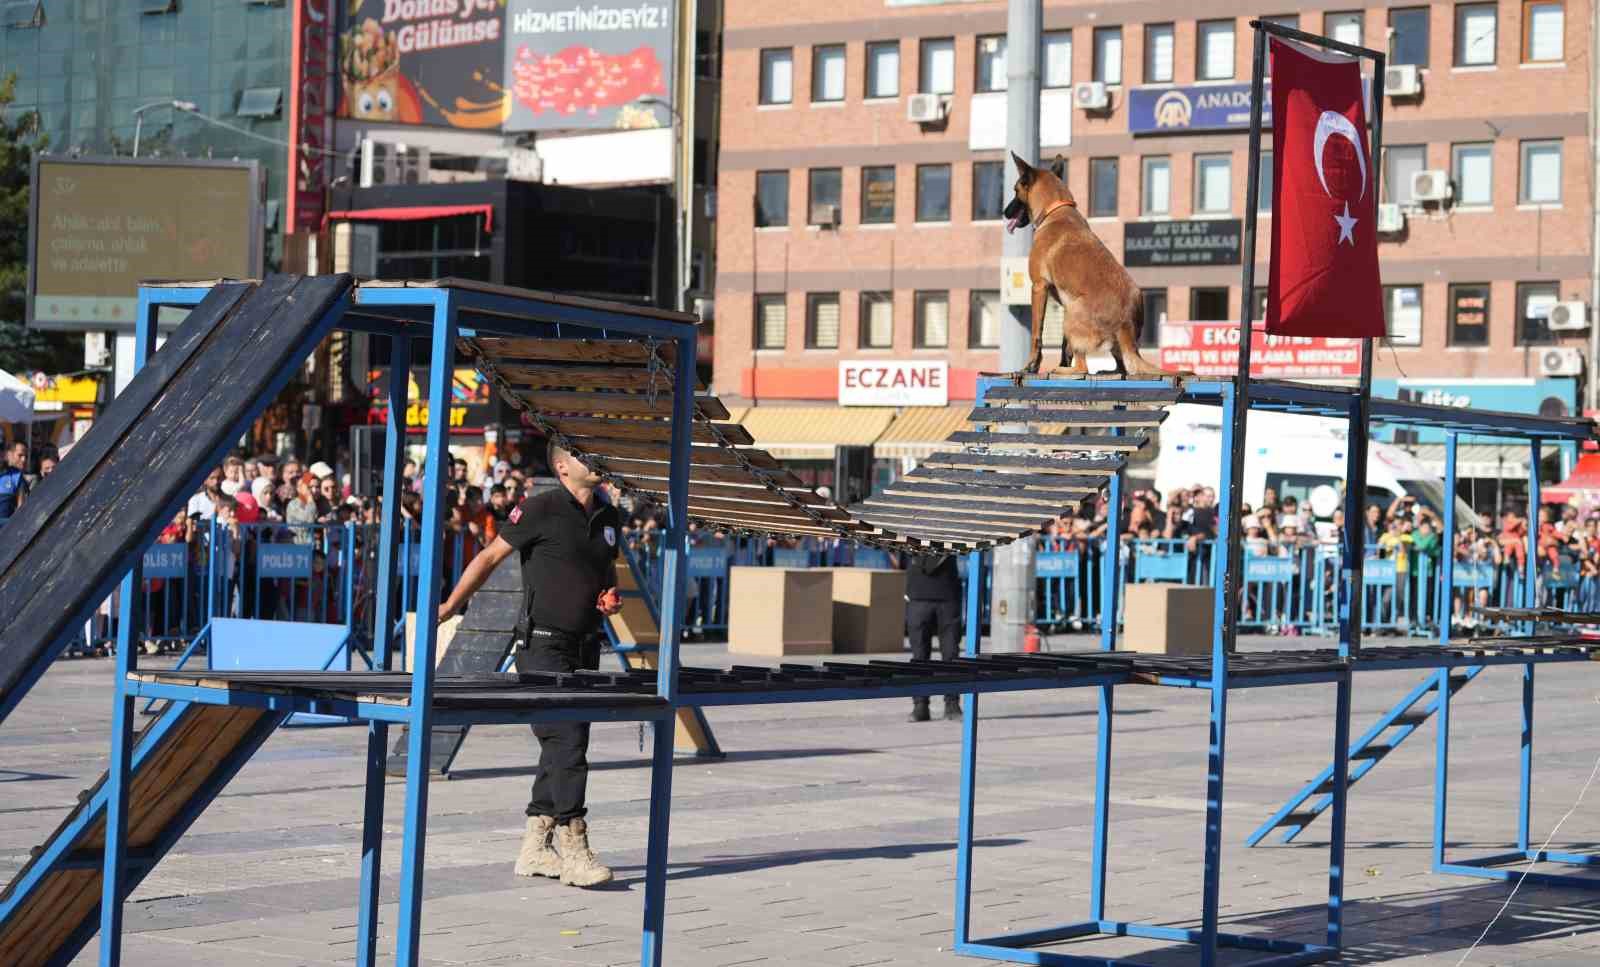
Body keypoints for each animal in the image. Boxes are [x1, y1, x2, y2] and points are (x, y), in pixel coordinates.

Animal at [1004, 152, 1158, 376]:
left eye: (1016, 190)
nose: (1004, 212)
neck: (1055, 210)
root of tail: (1125, 326)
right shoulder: (1063, 301)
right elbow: (1065, 346)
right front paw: (1062, 361)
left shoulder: (1039, 287)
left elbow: (1036, 333)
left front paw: (1032, 365)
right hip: (1072, 312)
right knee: (1121, 367)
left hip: (1071, 312)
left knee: (1084, 368)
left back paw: (1061, 370)